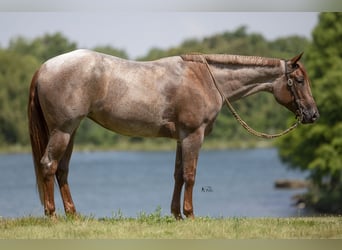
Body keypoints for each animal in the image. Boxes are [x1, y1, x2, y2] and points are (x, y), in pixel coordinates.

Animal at [28, 49, 320, 219]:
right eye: (300, 80)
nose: (313, 114)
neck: (206, 78)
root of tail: (44, 67)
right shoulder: (193, 135)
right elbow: (190, 175)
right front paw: (190, 214)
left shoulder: (182, 138)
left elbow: (179, 174)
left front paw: (177, 215)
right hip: (63, 130)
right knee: (49, 165)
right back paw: (52, 215)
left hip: (71, 132)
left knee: (62, 170)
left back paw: (73, 215)